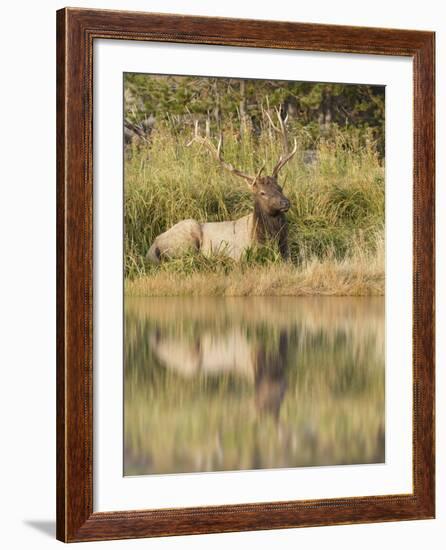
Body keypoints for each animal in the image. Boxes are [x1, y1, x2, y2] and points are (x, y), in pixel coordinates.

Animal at [148, 111, 298, 264]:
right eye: (262, 193)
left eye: (280, 187)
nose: (285, 202)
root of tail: (153, 247)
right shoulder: (240, 255)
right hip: (186, 237)